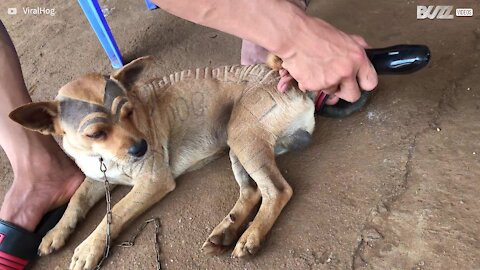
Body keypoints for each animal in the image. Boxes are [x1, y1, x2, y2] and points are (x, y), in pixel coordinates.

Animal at [8, 56, 316, 268]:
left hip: (243, 136)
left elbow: (114, 211)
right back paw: (226, 232)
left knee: (277, 190)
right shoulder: (96, 178)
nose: (142, 147)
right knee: (252, 191)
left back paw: (251, 236)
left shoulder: (152, 182)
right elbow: (76, 200)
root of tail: (283, 77)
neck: (104, 159)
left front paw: (88, 248)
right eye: (95, 133)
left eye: (129, 112)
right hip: (236, 145)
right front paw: (56, 232)